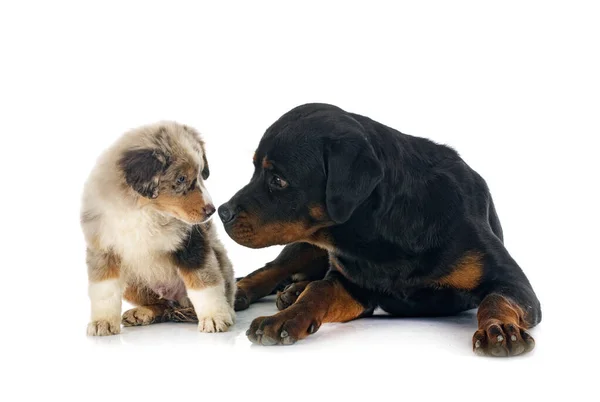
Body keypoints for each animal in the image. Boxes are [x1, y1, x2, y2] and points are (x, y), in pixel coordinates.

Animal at [81, 122, 236, 336]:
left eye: (200, 174)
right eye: (181, 179)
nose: (211, 210)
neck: (144, 210)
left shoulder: (193, 245)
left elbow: (204, 284)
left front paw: (214, 317)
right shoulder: (103, 249)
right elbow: (104, 290)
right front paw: (102, 322)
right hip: (133, 283)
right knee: (162, 305)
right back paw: (142, 313)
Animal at [221, 103, 544, 354]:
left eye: (278, 180)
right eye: (255, 170)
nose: (223, 212)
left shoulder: (512, 282)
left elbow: (495, 300)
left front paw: (498, 328)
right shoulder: (352, 284)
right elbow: (319, 289)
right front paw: (288, 316)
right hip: (306, 246)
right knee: (272, 269)